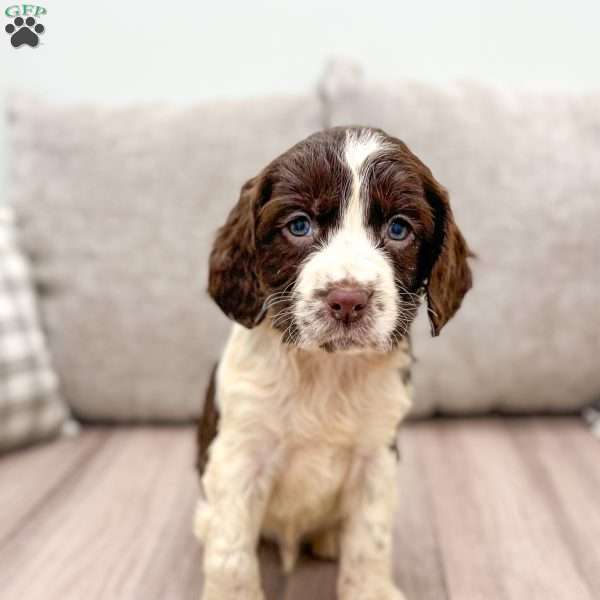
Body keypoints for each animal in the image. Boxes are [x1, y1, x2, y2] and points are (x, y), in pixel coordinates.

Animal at [195, 126, 472, 600]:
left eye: (399, 228)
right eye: (299, 225)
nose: (347, 300)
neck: (325, 371)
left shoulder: (376, 456)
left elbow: (369, 540)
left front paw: (370, 590)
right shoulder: (239, 453)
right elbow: (230, 554)